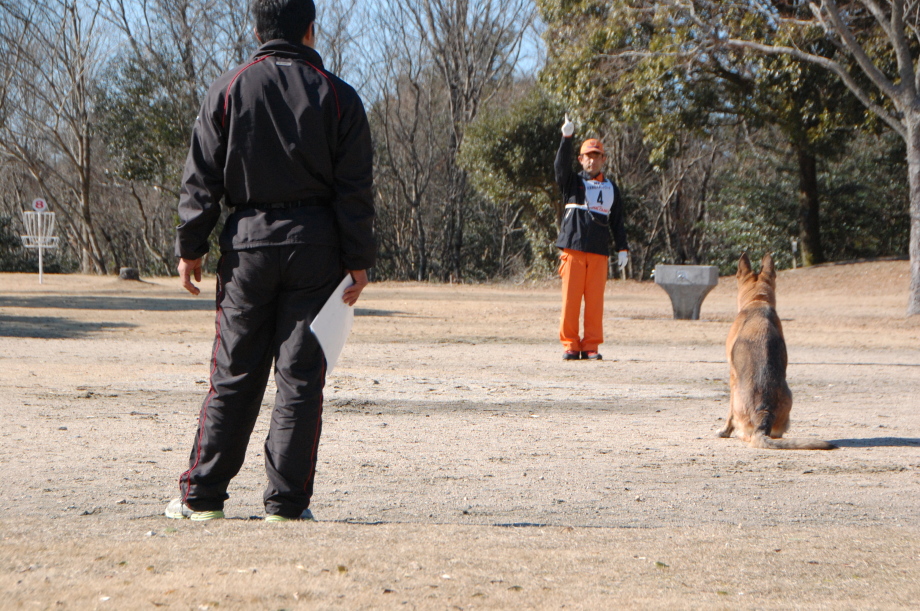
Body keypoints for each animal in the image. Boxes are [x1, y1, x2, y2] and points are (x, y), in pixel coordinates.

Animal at [718, 253, 836, 450]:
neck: (757, 303)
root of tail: (764, 412)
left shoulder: (731, 375)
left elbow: (728, 415)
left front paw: (724, 431)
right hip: (788, 397)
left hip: (737, 397)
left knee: (744, 431)